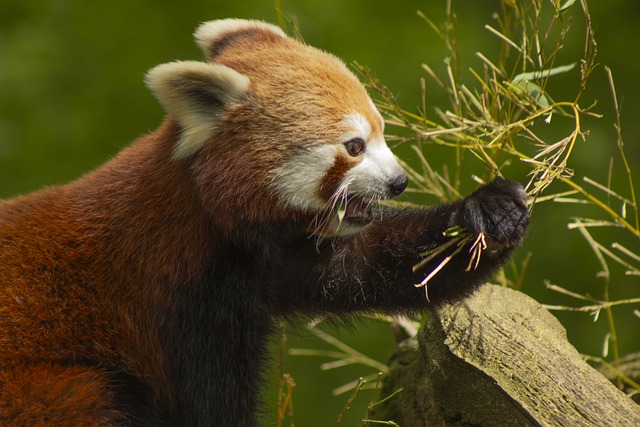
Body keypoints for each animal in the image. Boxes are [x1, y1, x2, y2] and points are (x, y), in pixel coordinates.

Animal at [0, 19, 528, 427]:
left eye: (381, 133)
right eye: (354, 146)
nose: (399, 182)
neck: (208, 218)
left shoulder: (277, 262)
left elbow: (373, 266)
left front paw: (488, 211)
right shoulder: (177, 298)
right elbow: (206, 403)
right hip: (44, 384)